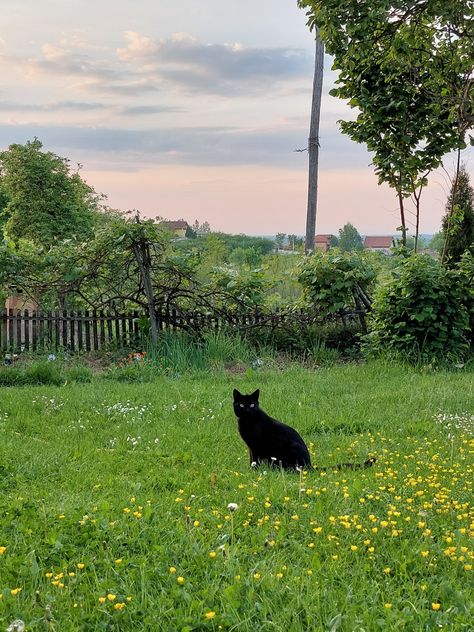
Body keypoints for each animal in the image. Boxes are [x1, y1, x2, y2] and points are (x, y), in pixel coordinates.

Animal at [231, 388, 376, 472]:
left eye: (252, 404)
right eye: (241, 404)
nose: (247, 409)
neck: (247, 421)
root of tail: (309, 464)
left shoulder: (256, 446)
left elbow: (255, 460)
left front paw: (254, 471)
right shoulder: (250, 447)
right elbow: (251, 459)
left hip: (291, 448)